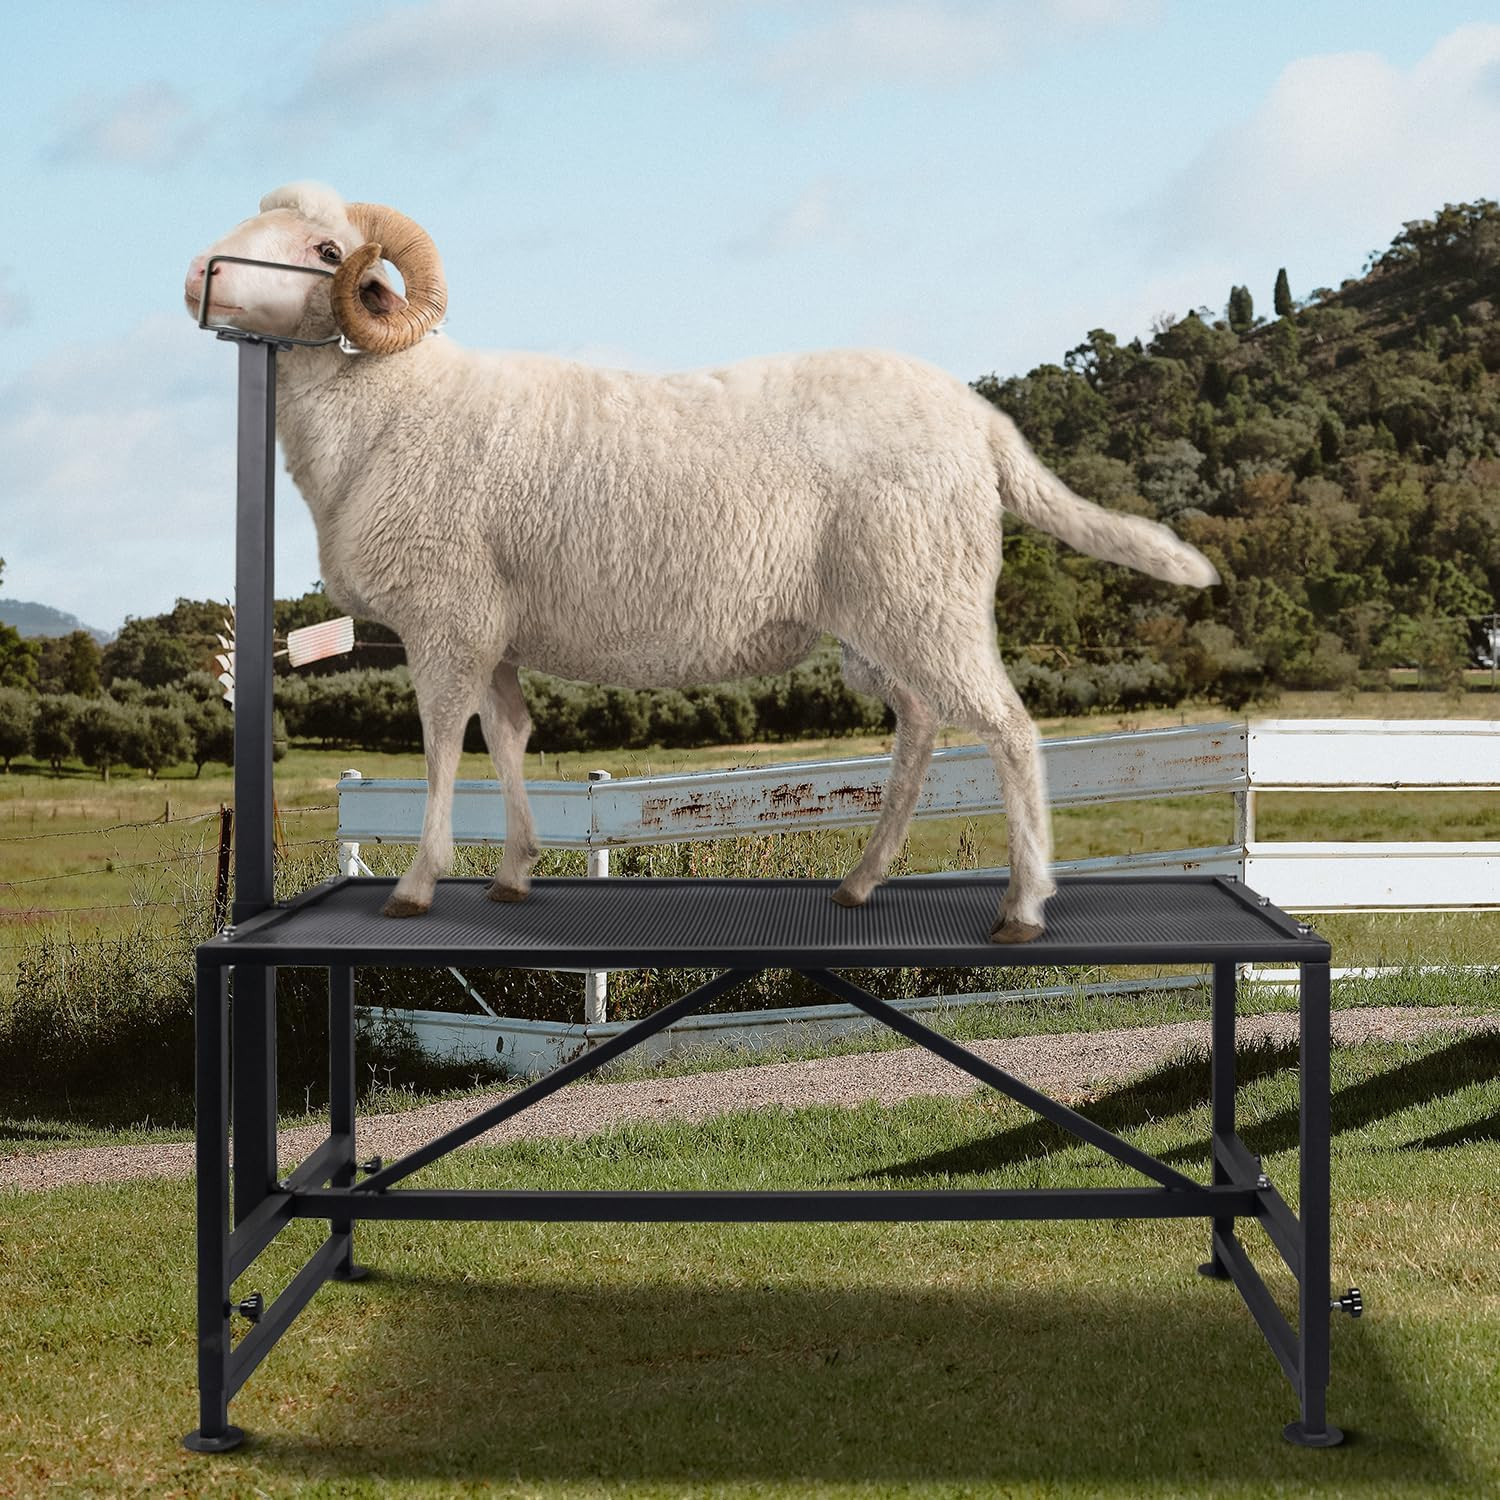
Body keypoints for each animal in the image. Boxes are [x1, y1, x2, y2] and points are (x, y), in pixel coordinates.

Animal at [185, 182, 1218, 942]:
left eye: (329, 252)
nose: (200, 270)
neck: (388, 403)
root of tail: (981, 421)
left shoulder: (446, 616)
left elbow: (442, 746)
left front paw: (417, 883)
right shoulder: (494, 628)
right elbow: (508, 737)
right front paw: (515, 872)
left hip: (928, 597)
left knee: (1008, 729)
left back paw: (1023, 907)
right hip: (884, 619)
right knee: (922, 727)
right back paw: (862, 881)